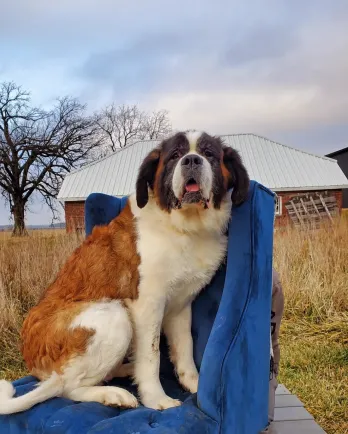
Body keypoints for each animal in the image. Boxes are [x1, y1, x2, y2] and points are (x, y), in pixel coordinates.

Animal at [0, 130, 250, 414]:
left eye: (209, 154)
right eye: (175, 155)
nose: (192, 160)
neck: (183, 228)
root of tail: (35, 365)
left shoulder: (180, 306)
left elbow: (185, 346)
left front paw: (195, 384)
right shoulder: (146, 305)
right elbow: (152, 355)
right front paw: (157, 399)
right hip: (113, 316)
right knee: (67, 388)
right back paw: (114, 393)